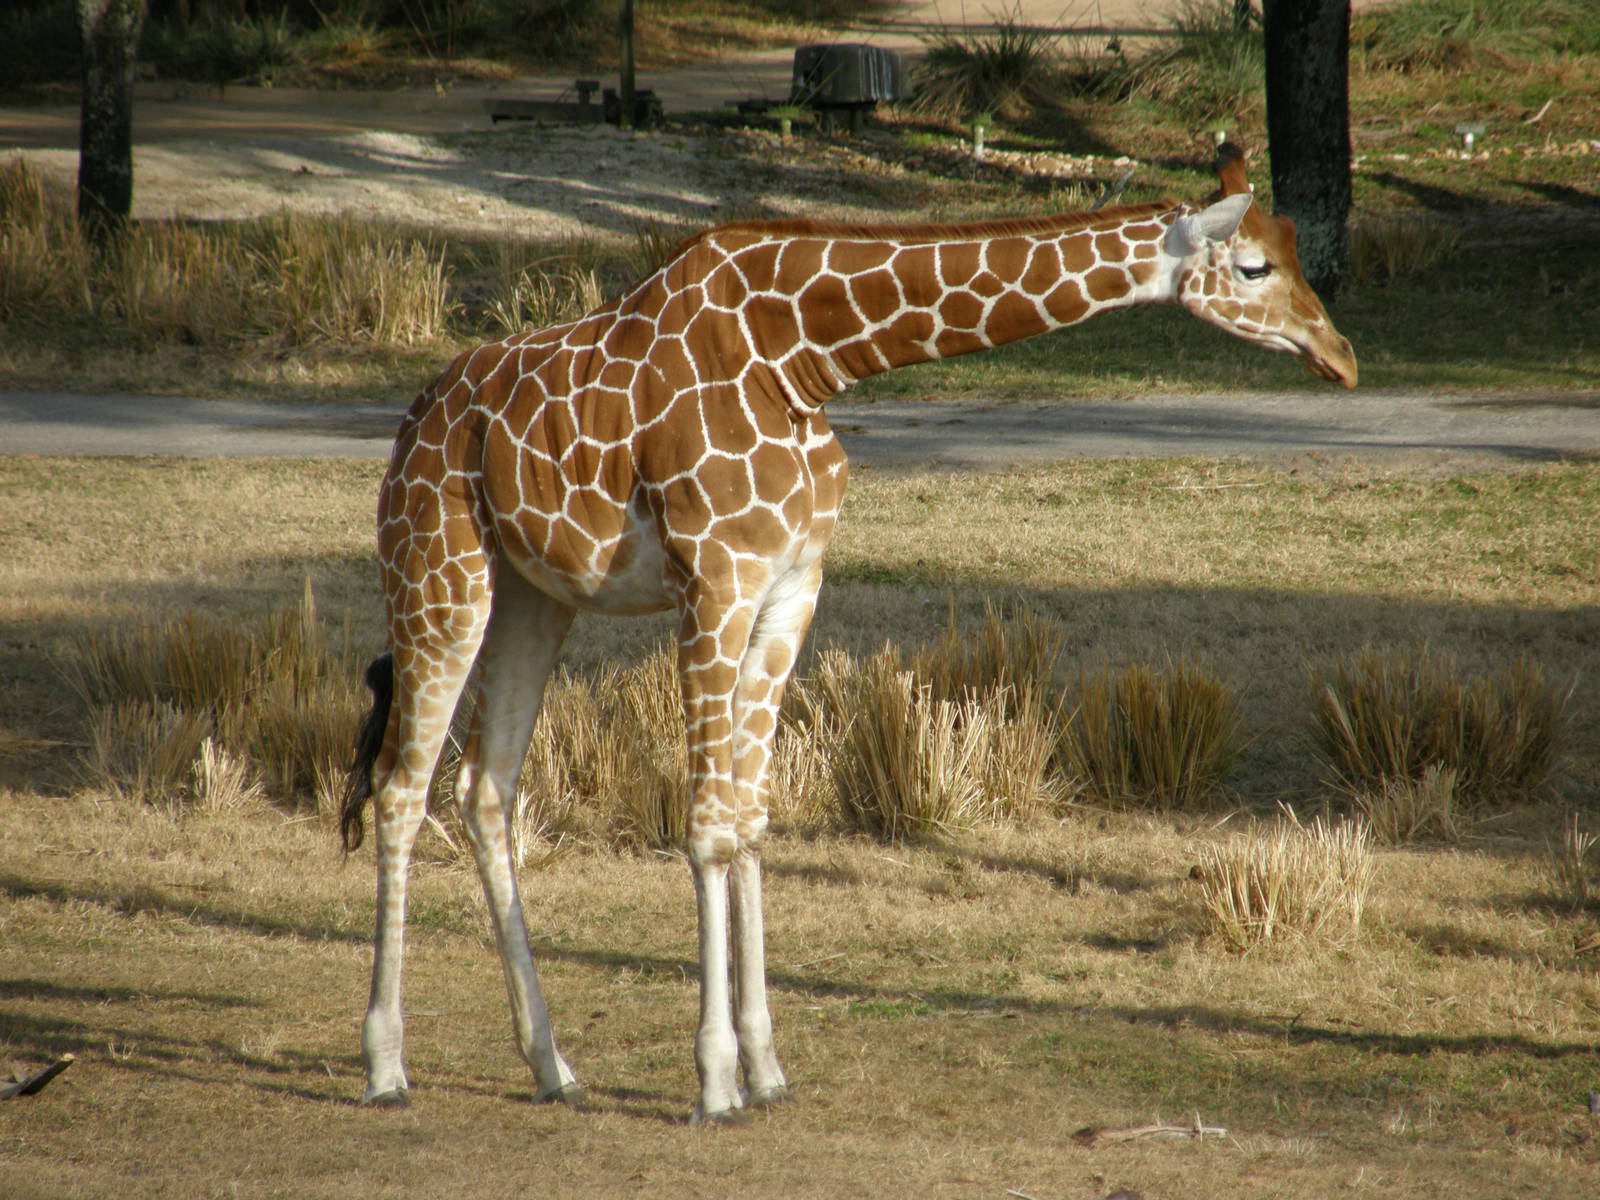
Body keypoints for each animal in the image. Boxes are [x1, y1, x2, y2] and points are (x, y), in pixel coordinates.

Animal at [340, 144, 1356, 1123]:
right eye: (1256, 265)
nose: (1340, 355)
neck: (805, 356)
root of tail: (414, 419)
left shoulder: (793, 589)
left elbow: (749, 818)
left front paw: (766, 1068)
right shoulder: (716, 583)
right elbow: (706, 826)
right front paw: (715, 1083)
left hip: (532, 595)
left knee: (484, 791)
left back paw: (552, 1066)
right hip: (438, 575)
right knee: (400, 788)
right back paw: (386, 1066)